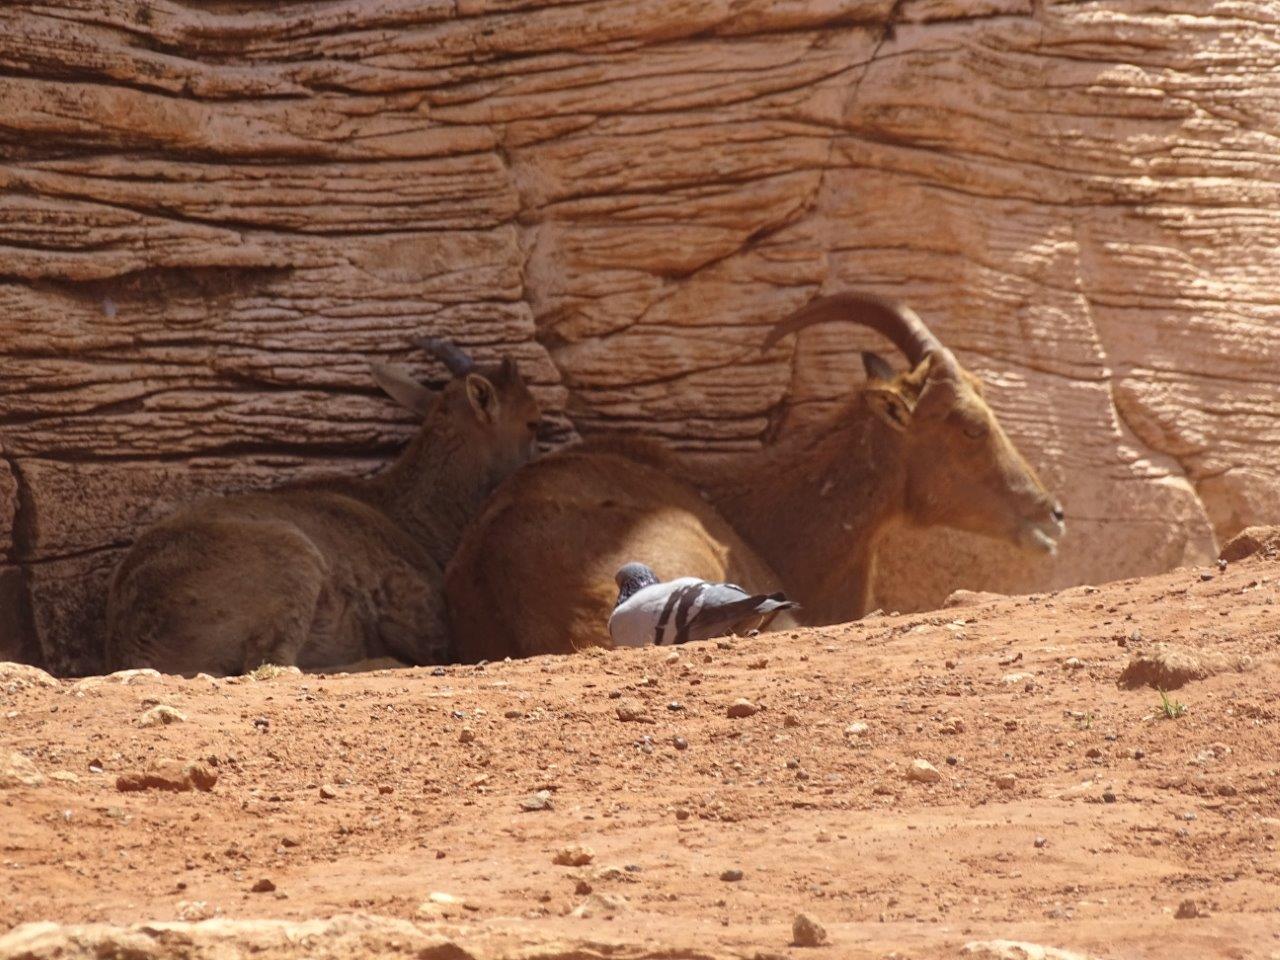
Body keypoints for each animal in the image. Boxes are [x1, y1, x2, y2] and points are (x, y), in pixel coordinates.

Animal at [104, 339, 542, 676]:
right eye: (533, 422)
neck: (417, 517)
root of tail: (136, 643)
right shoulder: (425, 611)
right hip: (294, 562)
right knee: (273, 665)